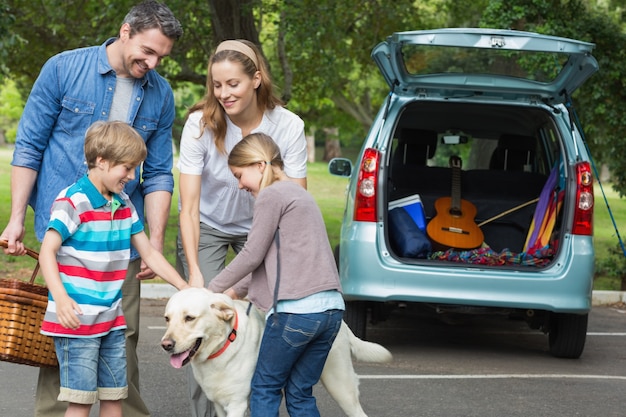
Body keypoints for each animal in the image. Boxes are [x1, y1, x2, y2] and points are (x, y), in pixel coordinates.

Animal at [161, 286, 390, 416]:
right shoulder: (220, 404)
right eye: (167, 319)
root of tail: (341, 322)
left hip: (340, 385)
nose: (166, 345)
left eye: (190, 318)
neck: (223, 345)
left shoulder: (236, 404)